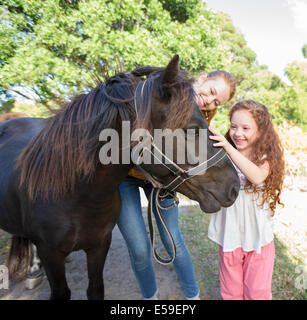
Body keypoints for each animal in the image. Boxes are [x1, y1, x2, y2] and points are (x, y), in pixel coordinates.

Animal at [0, 55, 241, 300]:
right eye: (192, 128)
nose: (234, 186)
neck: (78, 196)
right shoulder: (50, 253)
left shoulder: (99, 246)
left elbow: (95, 289)